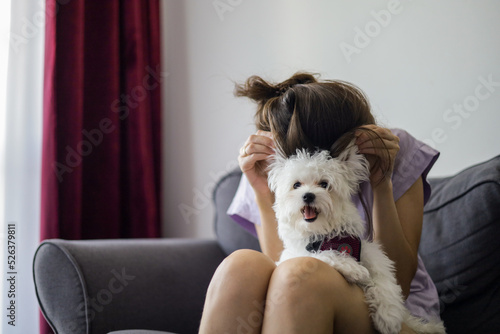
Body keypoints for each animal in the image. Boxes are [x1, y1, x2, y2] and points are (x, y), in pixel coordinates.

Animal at [268, 144, 448, 334]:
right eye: (296, 185)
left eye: (324, 184)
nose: (308, 195)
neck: (323, 234)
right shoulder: (295, 254)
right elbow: (321, 255)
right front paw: (353, 268)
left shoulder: (372, 255)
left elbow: (384, 281)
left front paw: (388, 316)